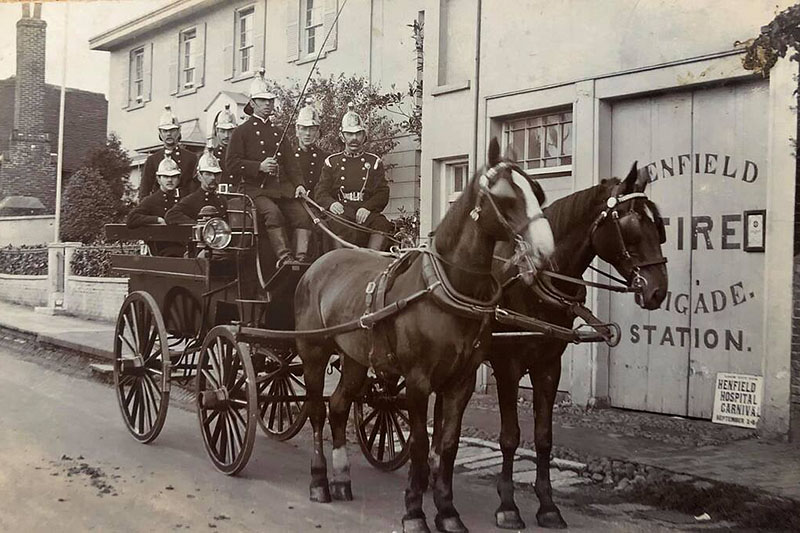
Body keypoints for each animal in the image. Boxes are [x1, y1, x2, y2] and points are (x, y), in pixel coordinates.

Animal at [296, 138, 556, 532]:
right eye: (506, 197)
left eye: (537, 192)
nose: (545, 251)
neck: (446, 290)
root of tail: (318, 264)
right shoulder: (418, 382)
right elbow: (419, 444)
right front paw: (414, 511)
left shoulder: (461, 382)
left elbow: (446, 445)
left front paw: (447, 512)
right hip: (313, 351)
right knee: (316, 411)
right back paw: (318, 481)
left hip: (355, 358)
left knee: (339, 406)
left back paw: (341, 479)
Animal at [488, 164, 668, 528]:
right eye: (631, 227)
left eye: (658, 225)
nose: (658, 290)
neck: (535, 280)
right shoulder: (506, 367)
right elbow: (510, 436)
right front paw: (508, 506)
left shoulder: (548, 366)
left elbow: (544, 438)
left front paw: (547, 506)